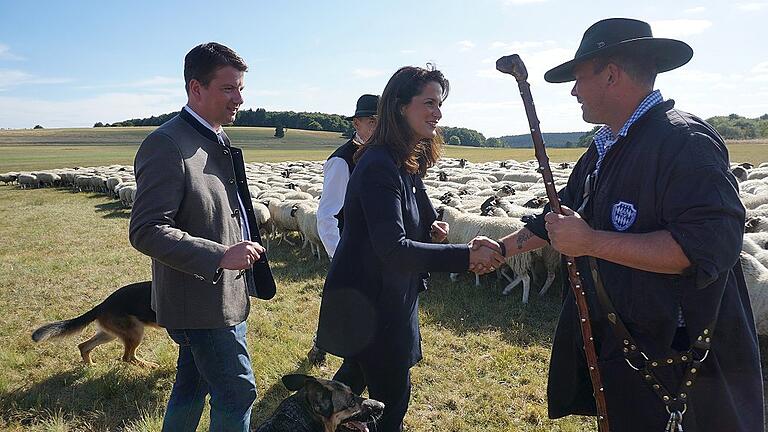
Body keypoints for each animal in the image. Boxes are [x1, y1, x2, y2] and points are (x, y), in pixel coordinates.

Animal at [31, 280, 160, 368]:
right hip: (135, 332)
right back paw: (148, 365)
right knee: (127, 357)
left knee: (83, 346)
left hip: (110, 334)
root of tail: (101, 306)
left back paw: (91, 365)